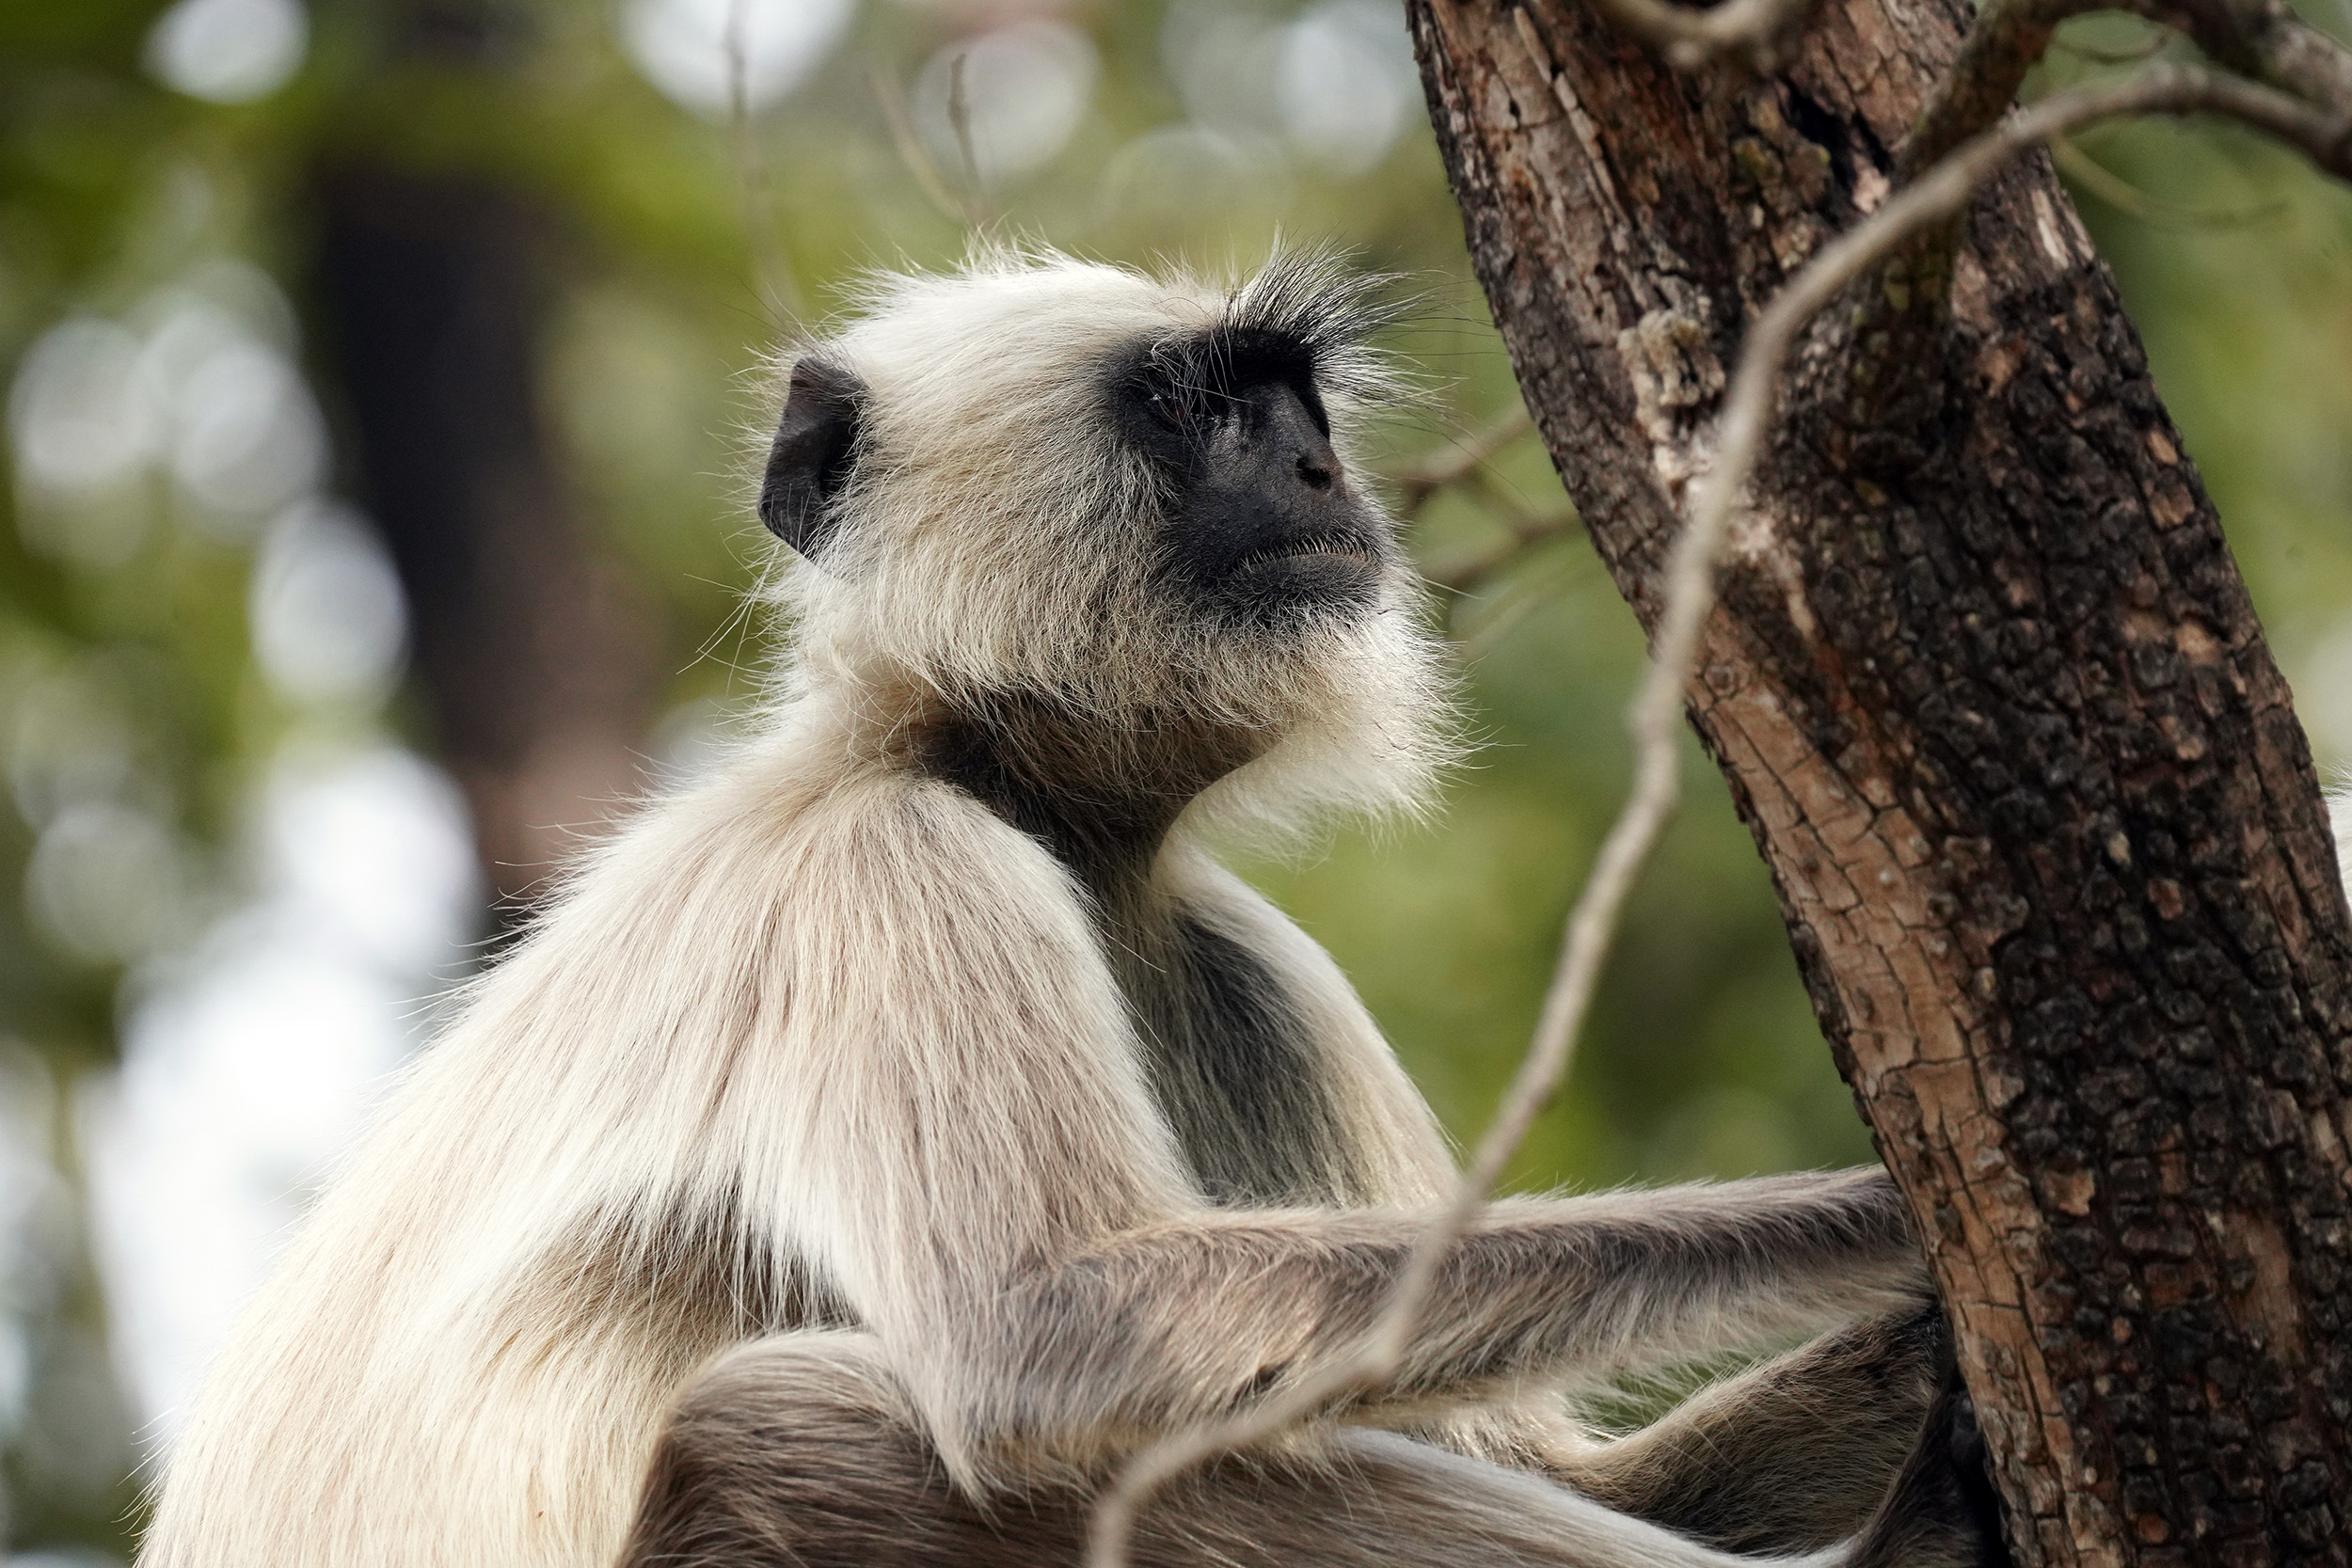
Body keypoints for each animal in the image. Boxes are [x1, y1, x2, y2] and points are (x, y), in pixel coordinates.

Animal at [139, 249, 2005, 1568]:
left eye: (1292, 399)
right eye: (1186, 406)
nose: (1319, 469)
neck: (987, 775)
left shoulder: (1239, 960)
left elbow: (1573, 1469)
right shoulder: (889, 868)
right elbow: (1049, 1329)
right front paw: (1877, 1217)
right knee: (790, 1421)